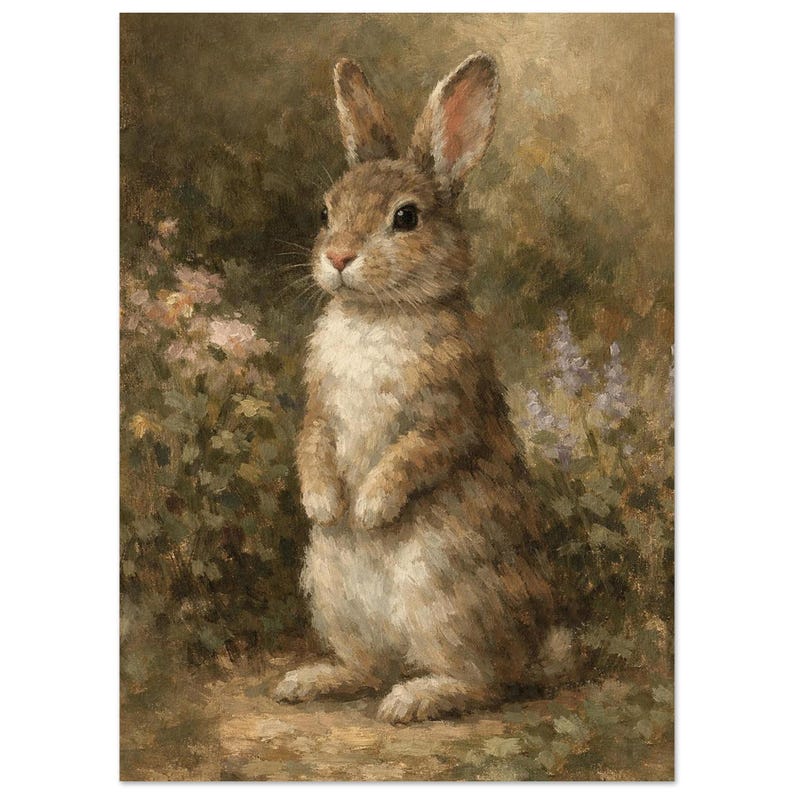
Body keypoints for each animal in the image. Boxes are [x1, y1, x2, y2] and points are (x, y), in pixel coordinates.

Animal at [273, 53, 566, 723]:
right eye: (326, 211)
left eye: (406, 218)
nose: (339, 257)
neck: (381, 313)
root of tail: (536, 647)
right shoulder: (320, 408)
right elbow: (311, 444)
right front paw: (325, 504)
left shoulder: (449, 413)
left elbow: (414, 454)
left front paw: (370, 509)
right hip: (330, 590)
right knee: (370, 667)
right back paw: (311, 681)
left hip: (448, 592)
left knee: (488, 682)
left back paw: (415, 699)